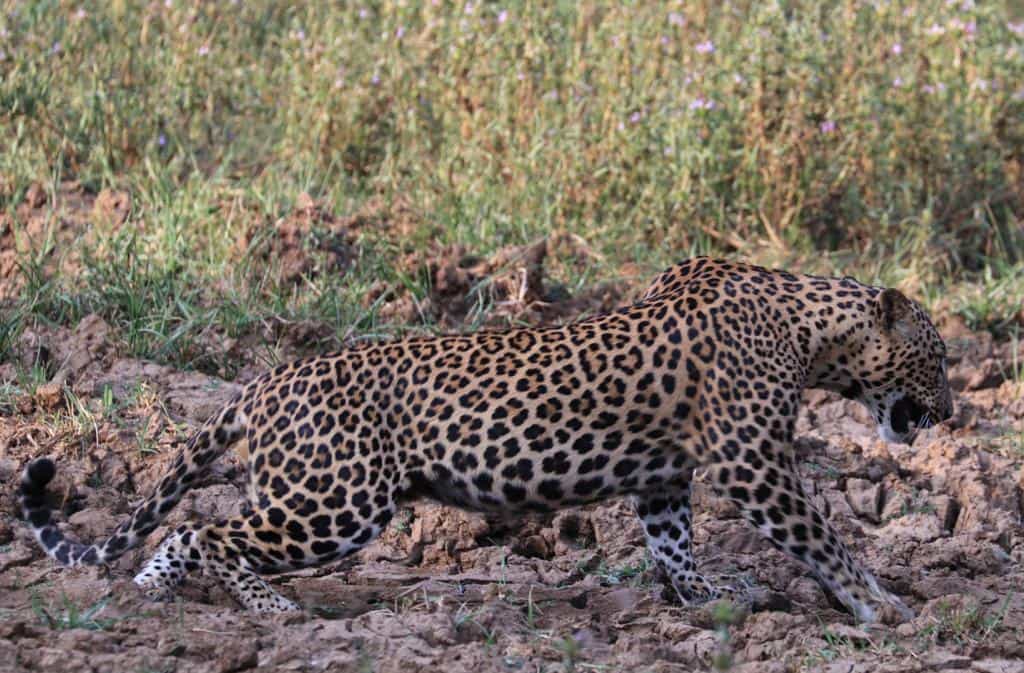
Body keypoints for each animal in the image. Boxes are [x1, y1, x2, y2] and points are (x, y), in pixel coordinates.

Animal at [18, 256, 950, 618]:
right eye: (940, 358)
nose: (950, 412)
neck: (813, 330)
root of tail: (264, 380)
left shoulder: (663, 476)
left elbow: (674, 541)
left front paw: (710, 597)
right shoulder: (756, 464)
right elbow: (825, 536)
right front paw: (885, 605)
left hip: (309, 493)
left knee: (183, 527)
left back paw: (145, 591)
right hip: (337, 497)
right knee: (217, 533)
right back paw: (273, 608)